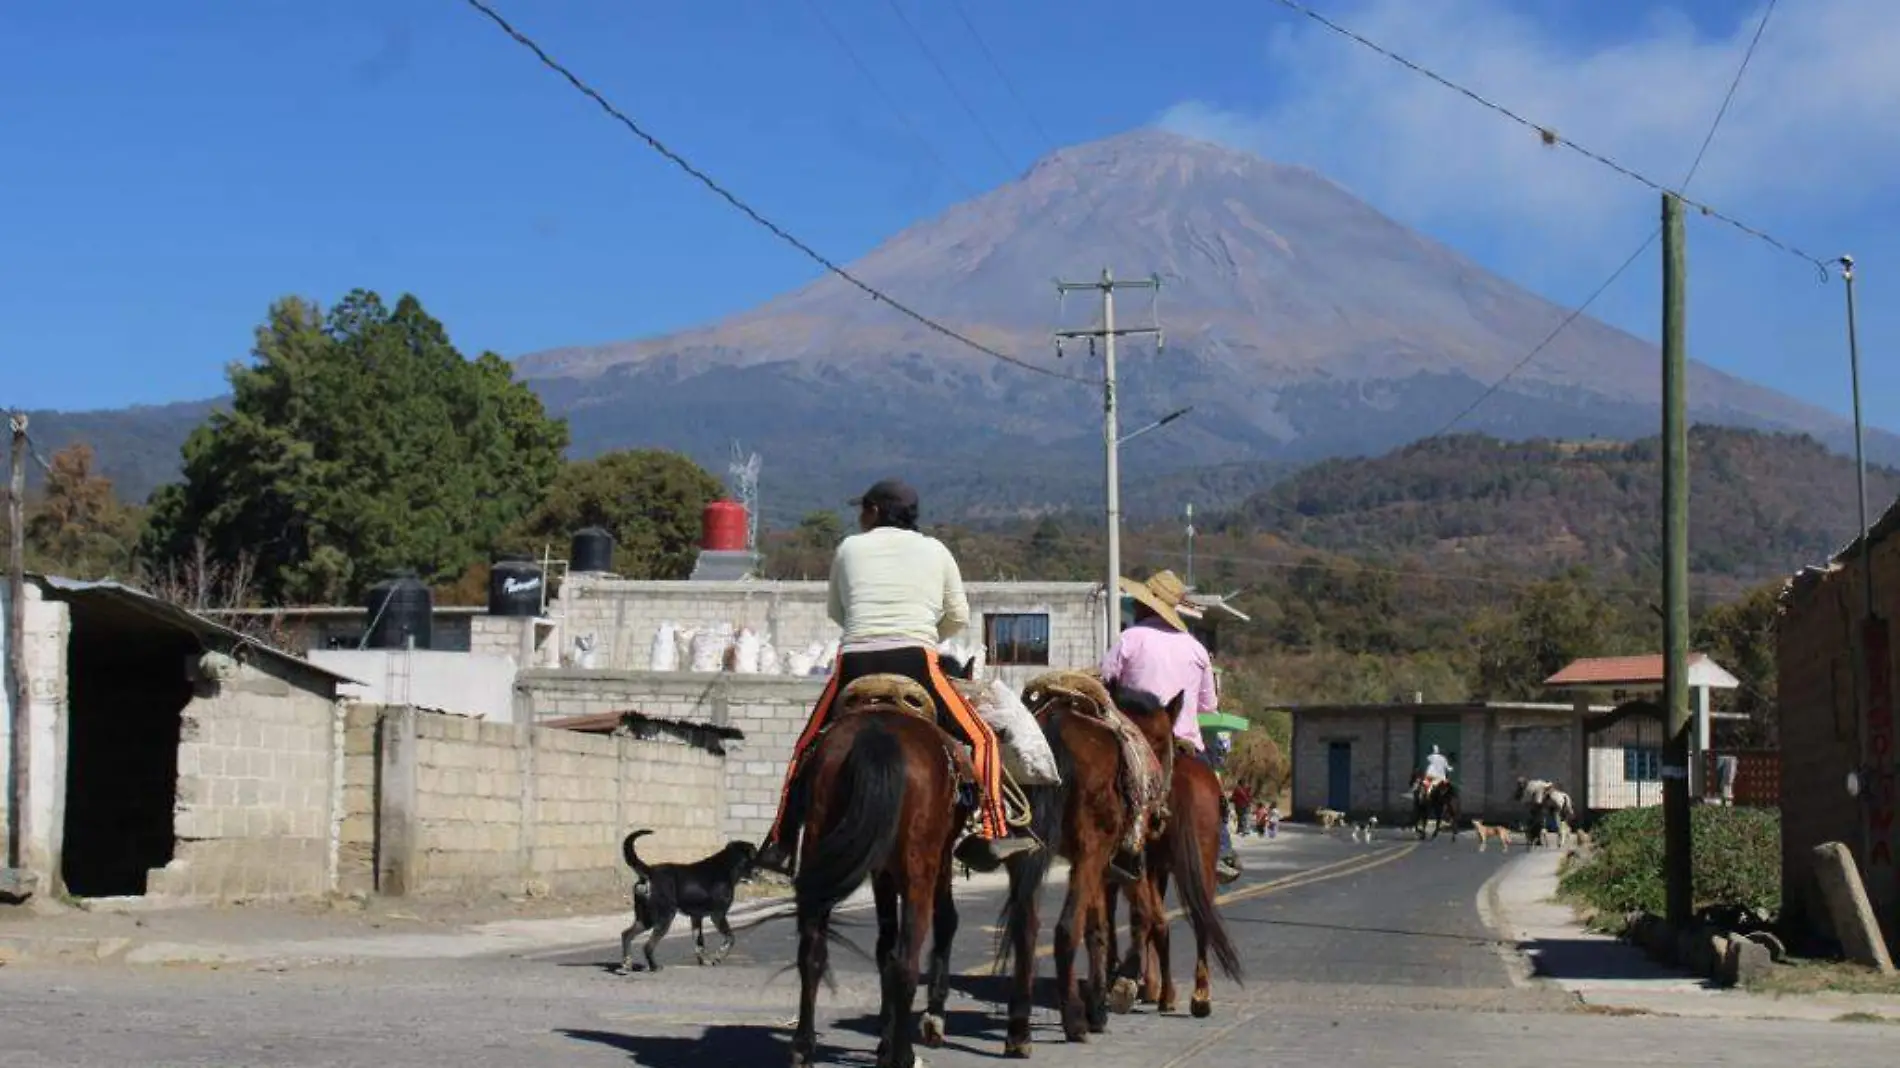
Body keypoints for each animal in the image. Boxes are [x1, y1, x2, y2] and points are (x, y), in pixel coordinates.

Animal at [611, 828, 752, 969]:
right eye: (755, 854)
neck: (726, 866)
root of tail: (649, 872)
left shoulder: (696, 918)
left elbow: (699, 944)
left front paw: (704, 961)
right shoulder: (718, 915)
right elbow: (730, 938)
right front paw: (719, 955)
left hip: (645, 919)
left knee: (626, 935)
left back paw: (627, 963)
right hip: (664, 917)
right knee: (648, 946)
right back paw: (654, 966)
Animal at [790, 672, 972, 1064]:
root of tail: (878, 733)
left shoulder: (881, 874)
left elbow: (882, 948)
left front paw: (885, 1037)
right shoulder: (939, 860)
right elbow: (945, 922)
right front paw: (930, 1021)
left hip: (819, 842)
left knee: (812, 951)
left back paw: (803, 1046)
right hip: (919, 872)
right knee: (907, 961)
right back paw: (904, 1054)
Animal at [995, 668, 1140, 1048]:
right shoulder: (1097, 860)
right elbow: (1097, 927)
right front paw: (1097, 1010)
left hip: (1024, 851)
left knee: (1026, 927)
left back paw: (1019, 1028)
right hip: (1091, 852)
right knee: (1065, 928)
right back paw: (1074, 1019)